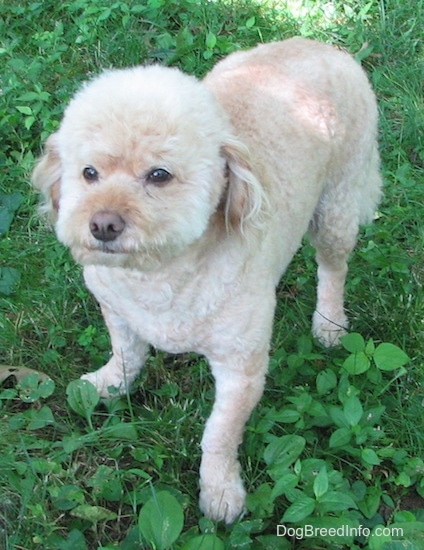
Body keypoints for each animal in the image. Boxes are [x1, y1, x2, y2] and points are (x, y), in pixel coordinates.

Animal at [32, 38, 380, 528]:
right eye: (88, 173)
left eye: (159, 175)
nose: (102, 224)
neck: (160, 275)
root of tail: (318, 44)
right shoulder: (115, 307)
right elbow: (126, 353)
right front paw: (109, 383)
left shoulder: (242, 368)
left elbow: (219, 433)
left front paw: (219, 490)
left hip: (337, 206)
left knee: (333, 267)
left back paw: (329, 323)